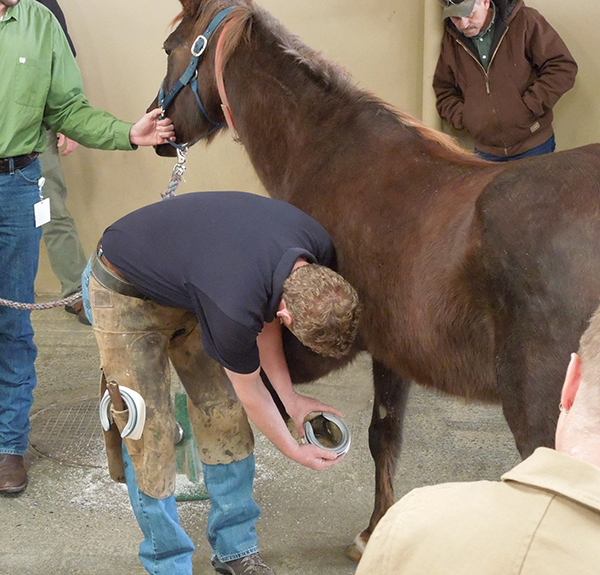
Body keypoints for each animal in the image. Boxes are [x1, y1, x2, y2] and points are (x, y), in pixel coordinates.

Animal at [151, 0, 600, 564]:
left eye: (170, 49)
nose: (157, 127)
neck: (330, 155)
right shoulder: (392, 353)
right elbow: (383, 433)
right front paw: (374, 528)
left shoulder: (313, 341)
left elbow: (270, 390)